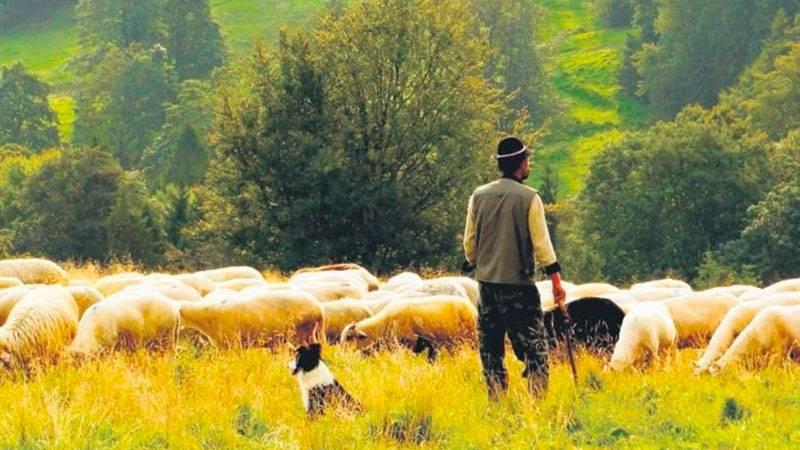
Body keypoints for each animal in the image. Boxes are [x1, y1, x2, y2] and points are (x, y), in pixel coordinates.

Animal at [340, 298, 478, 356]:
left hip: (471, 338)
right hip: (453, 342)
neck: (382, 325)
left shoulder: (410, 342)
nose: (342, 355)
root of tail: (472, 308)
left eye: (349, 337)